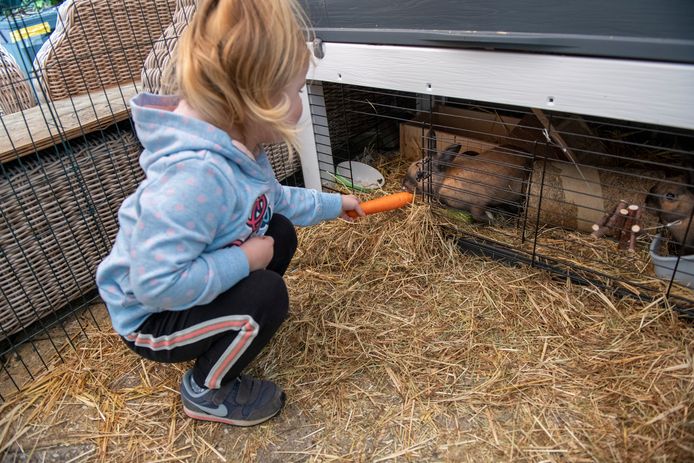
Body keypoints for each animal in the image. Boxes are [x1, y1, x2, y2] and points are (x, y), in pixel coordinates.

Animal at [402, 143, 532, 223]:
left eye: (420, 175)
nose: (403, 186)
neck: (444, 179)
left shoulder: (480, 201)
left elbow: (477, 214)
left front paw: (491, 219)